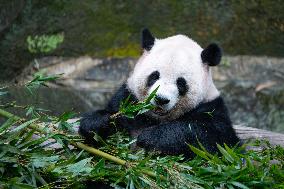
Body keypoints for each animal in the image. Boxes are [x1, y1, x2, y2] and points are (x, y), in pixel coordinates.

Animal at [79, 28, 240, 158]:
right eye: (154, 76)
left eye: (180, 83)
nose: (161, 99)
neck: (157, 119)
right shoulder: (127, 99)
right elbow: (111, 117)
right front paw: (98, 123)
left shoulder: (211, 108)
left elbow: (213, 138)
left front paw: (151, 138)